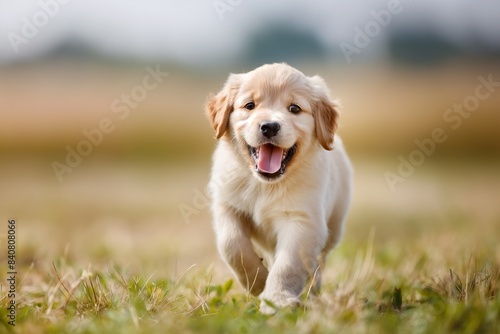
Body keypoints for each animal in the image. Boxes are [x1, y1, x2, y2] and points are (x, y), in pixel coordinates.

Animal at [204, 64, 352, 314]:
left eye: (294, 108)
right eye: (250, 105)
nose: (269, 126)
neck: (265, 184)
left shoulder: (303, 221)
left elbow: (288, 264)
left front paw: (277, 300)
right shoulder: (227, 206)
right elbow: (232, 245)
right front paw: (258, 281)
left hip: (334, 226)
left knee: (318, 263)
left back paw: (311, 292)